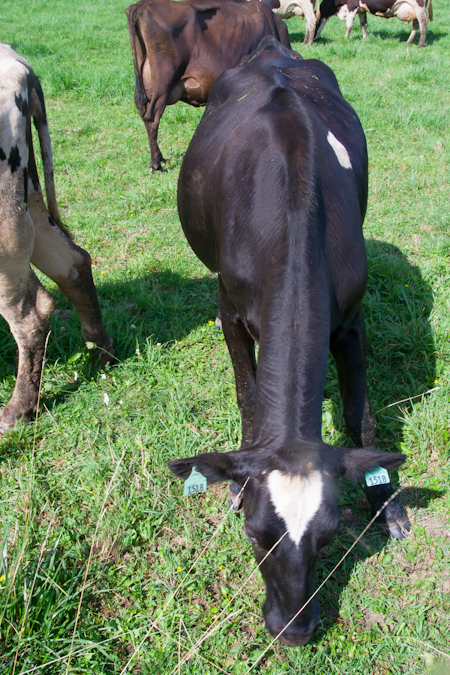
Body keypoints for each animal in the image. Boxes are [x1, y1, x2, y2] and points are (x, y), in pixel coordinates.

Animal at [0, 44, 113, 433]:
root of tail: (18, 62)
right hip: (29, 199)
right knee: (74, 263)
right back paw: (101, 353)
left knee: (31, 313)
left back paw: (19, 409)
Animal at [169, 37, 409, 645]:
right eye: (255, 534)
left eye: (329, 535)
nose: (294, 631)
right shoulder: (228, 310)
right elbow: (249, 397)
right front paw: (233, 482)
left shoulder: (351, 318)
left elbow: (360, 417)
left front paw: (387, 503)